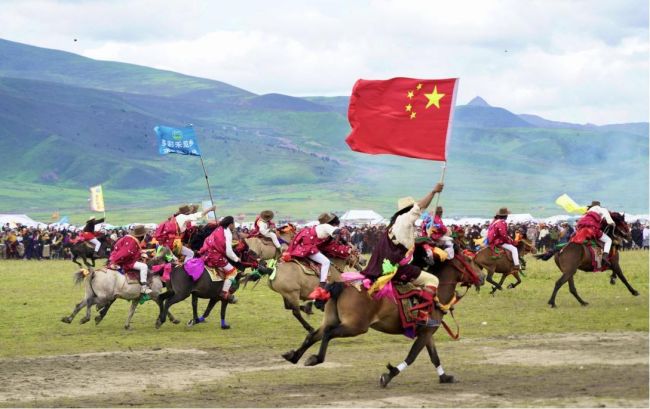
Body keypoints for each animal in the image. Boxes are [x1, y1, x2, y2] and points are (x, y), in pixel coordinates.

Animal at [280, 253, 484, 388]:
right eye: (470, 261)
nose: (482, 277)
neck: (435, 294)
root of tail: (341, 285)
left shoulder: (427, 332)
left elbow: (434, 356)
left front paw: (445, 377)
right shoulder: (426, 332)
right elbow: (412, 356)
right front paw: (389, 375)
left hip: (332, 319)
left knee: (314, 334)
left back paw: (294, 356)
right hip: (356, 326)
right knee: (328, 334)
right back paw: (316, 358)